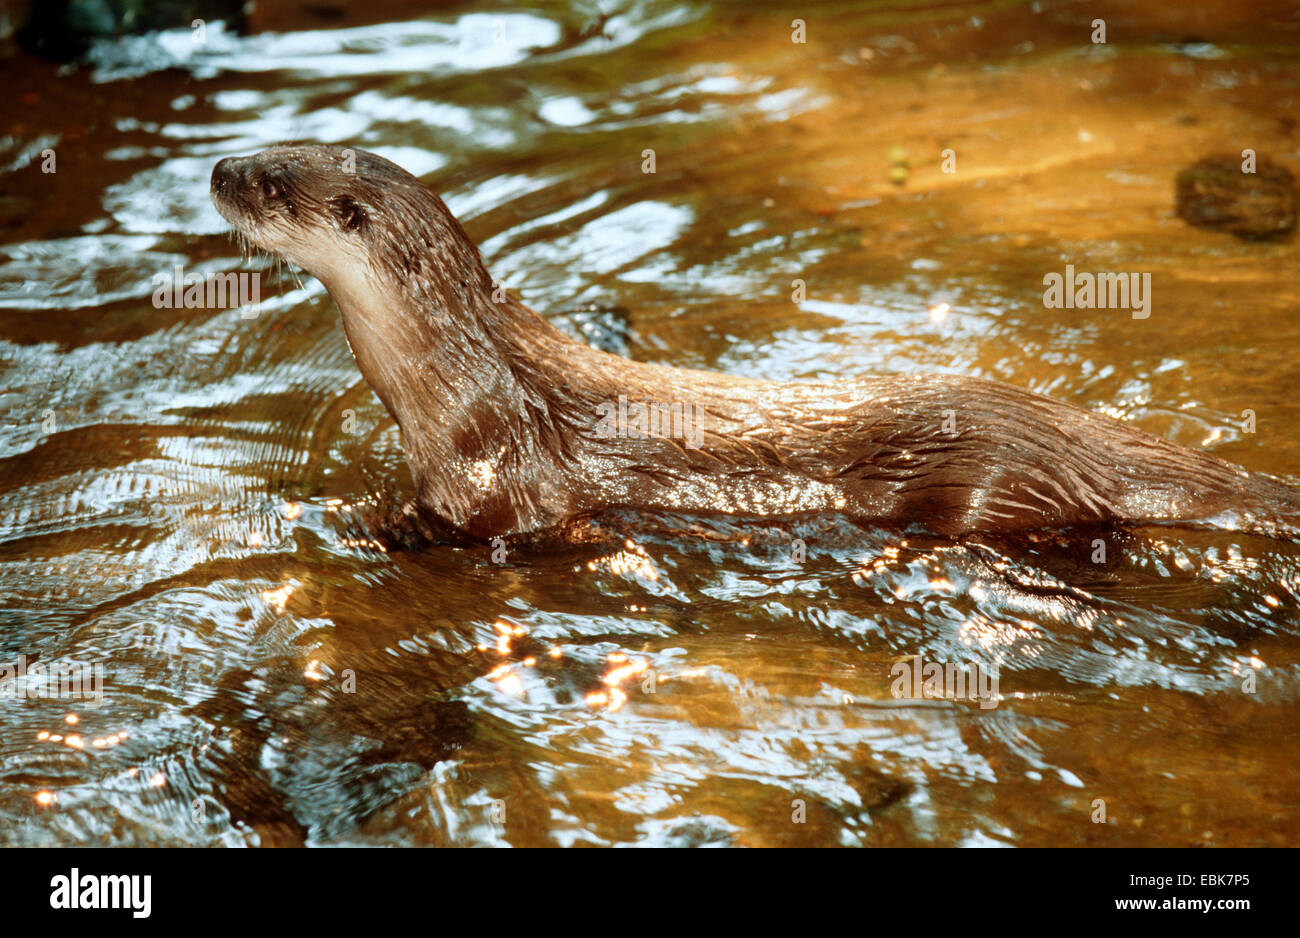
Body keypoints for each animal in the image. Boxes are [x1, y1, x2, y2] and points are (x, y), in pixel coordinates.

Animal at [208, 142, 1300, 545]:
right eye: (267, 147)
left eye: (270, 183)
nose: (217, 171)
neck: (456, 380)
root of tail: (1070, 435)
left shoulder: (497, 483)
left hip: (986, 484)